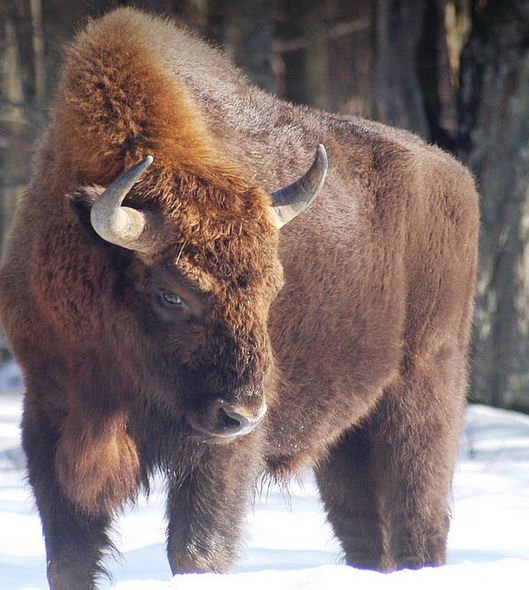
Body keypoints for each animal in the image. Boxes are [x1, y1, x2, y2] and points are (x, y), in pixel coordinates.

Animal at [0, 8, 478, 590]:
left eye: (274, 289)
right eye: (170, 294)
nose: (243, 412)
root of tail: (456, 176)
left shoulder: (218, 452)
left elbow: (196, 548)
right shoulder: (49, 417)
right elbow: (66, 557)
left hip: (424, 394)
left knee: (421, 518)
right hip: (346, 441)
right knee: (365, 530)